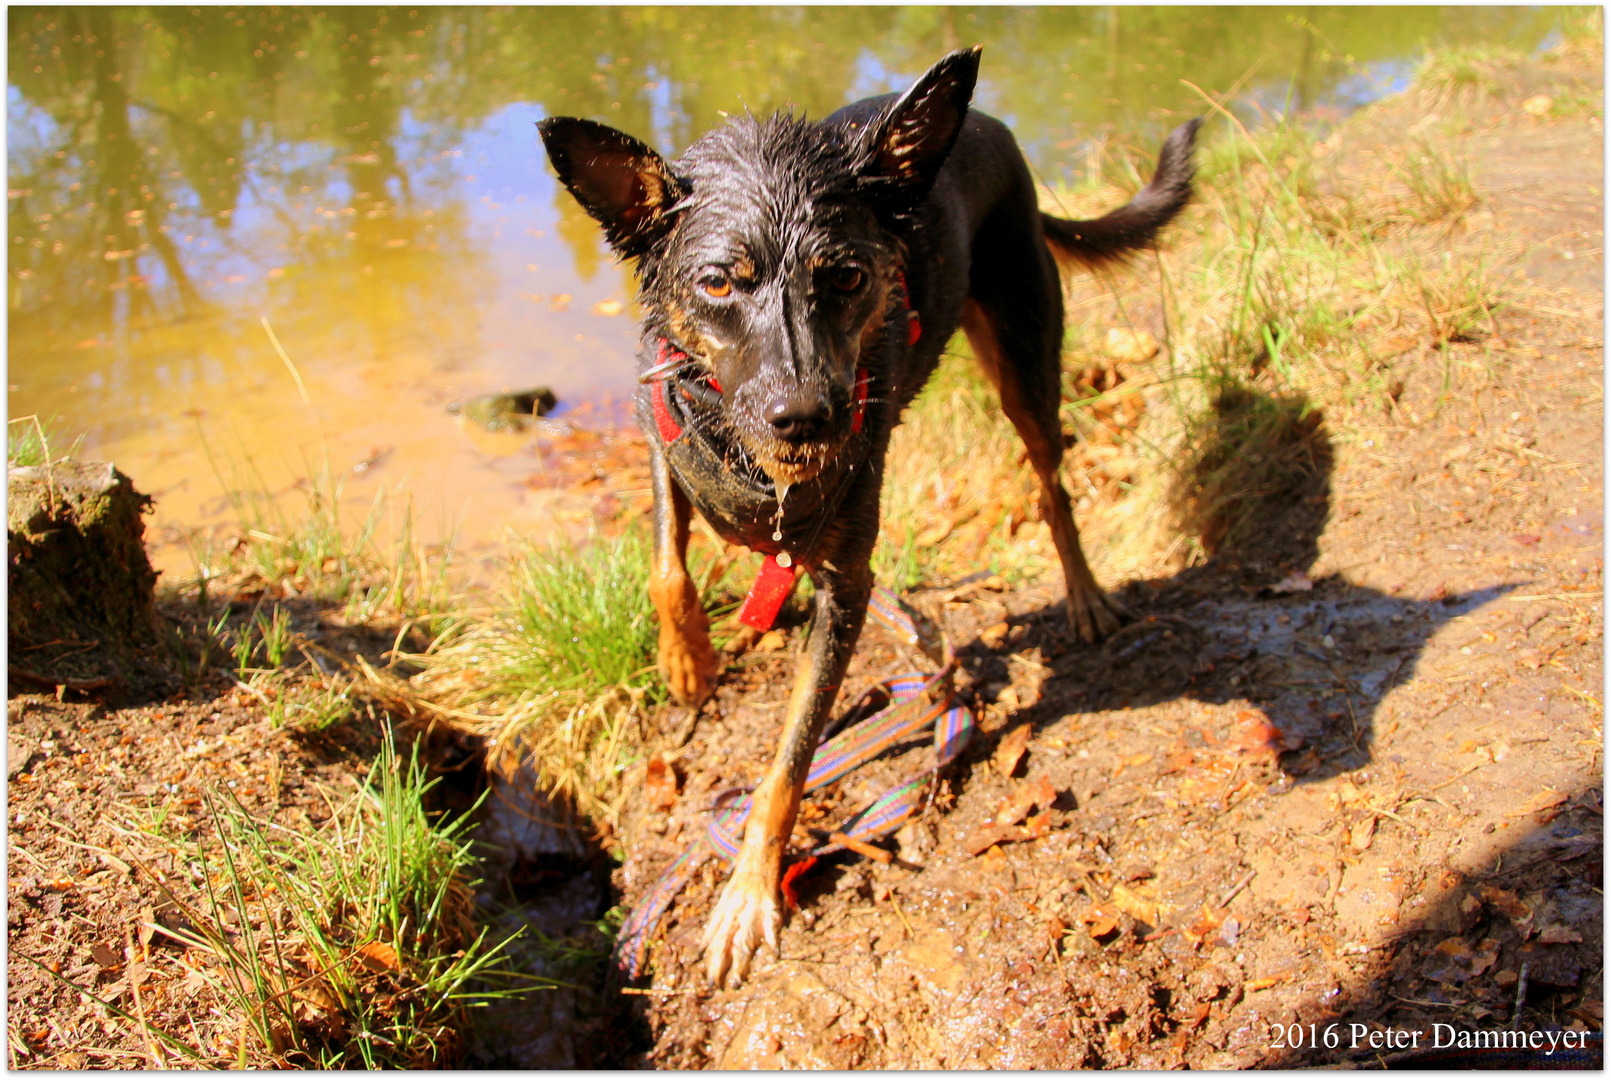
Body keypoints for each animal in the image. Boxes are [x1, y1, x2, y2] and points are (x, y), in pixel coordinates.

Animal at [541, 46, 1198, 986]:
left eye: (848, 276)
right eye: (717, 282)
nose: (806, 418)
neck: (761, 466)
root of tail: (987, 125)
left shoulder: (848, 588)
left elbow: (788, 761)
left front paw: (748, 893)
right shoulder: (659, 425)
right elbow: (666, 564)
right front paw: (688, 659)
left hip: (1024, 355)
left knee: (1051, 483)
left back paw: (1083, 595)